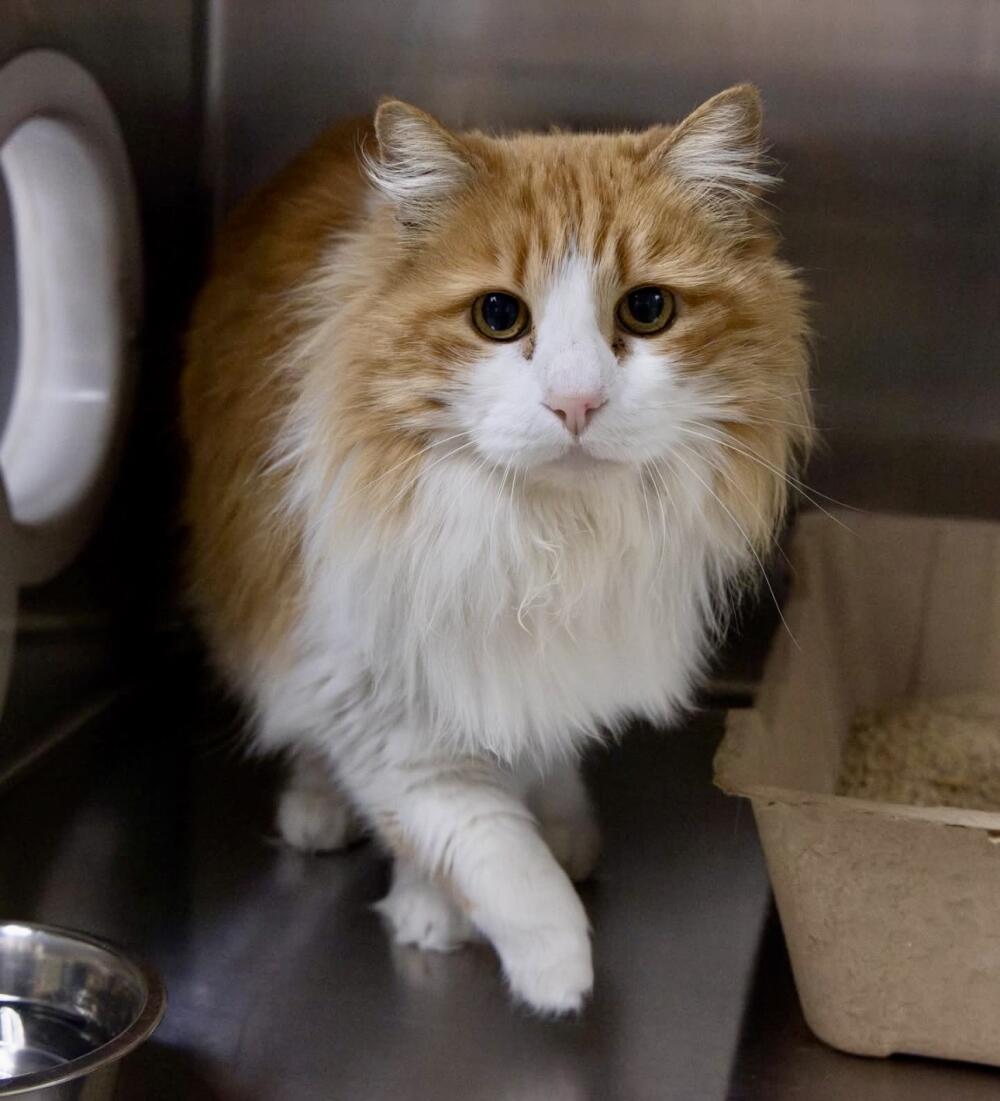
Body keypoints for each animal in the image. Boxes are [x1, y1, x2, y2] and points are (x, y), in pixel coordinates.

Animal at [181, 85, 810, 1012]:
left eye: (647, 309)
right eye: (498, 316)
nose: (577, 402)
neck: (550, 541)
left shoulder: (543, 654)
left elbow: (532, 762)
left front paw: (556, 828)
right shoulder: (374, 701)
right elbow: (482, 841)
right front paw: (536, 958)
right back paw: (316, 809)